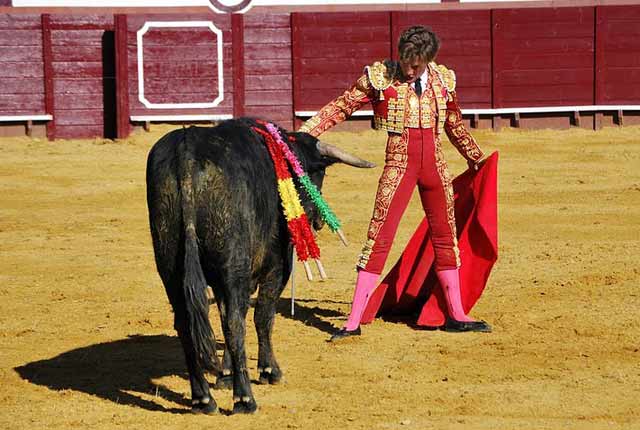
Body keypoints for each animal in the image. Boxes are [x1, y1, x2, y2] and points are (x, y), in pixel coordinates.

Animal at [145, 117, 372, 414]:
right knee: (235, 323)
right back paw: (244, 399)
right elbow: (262, 316)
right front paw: (268, 371)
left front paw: (225, 375)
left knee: (186, 324)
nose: (318, 221)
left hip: (170, 267)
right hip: (234, 264)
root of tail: (187, 148)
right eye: (318, 173)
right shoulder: (276, 265)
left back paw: (203, 399)